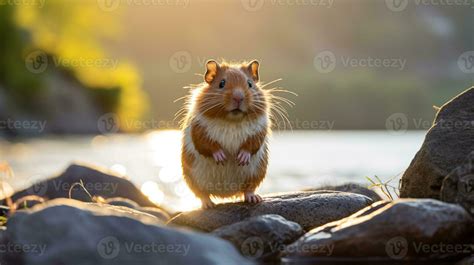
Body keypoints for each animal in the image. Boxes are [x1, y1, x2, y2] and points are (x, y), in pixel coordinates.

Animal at [181, 59, 270, 208]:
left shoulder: (259, 128)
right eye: (221, 83)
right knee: (202, 193)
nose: (238, 97)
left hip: (257, 172)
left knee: (248, 189)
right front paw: (222, 158)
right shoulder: (198, 128)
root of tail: (226, 194)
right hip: (192, 177)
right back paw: (208, 204)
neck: (231, 120)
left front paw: (241, 159)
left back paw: (254, 198)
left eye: (250, 84)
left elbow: (251, 144)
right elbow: (207, 144)